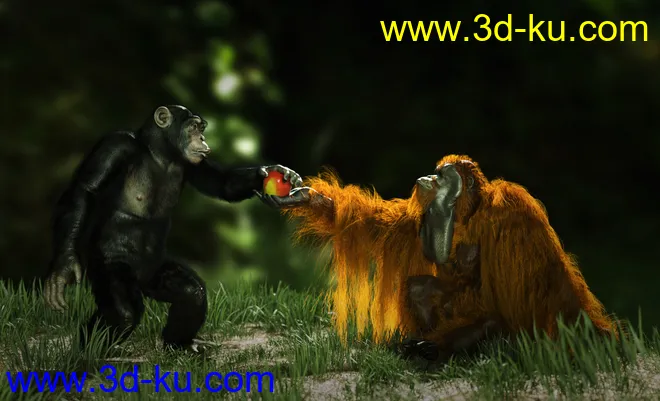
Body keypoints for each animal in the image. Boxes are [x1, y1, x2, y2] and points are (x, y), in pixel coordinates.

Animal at [43, 105, 303, 353]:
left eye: (202, 128)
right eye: (194, 127)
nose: (203, 138)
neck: (160, 154)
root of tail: (141, 279)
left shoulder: (193, 164)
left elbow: (223, 184)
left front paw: (277, 173)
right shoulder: (115, 146)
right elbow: (84, 190)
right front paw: (64, 266)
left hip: (156, 272)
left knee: (191, 292)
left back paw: (179, 345)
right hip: (107, 266)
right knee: (123, 312)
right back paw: (84, 356)